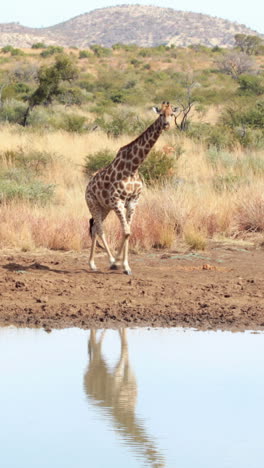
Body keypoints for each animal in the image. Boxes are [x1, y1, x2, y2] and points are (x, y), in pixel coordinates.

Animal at [85, 100, 177, 272]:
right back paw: (108, 261)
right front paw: (117, 262)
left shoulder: (133, 201)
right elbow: (127, 231)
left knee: (94, 228)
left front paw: (126, 266)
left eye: (172, 114)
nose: (166, 125)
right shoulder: (117, 201)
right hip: (93, 204)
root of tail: (87, 186)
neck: (133, 167)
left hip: (104, 207)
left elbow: (128, 231)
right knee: (99, 229)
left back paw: (92, 264)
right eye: (161, 114)